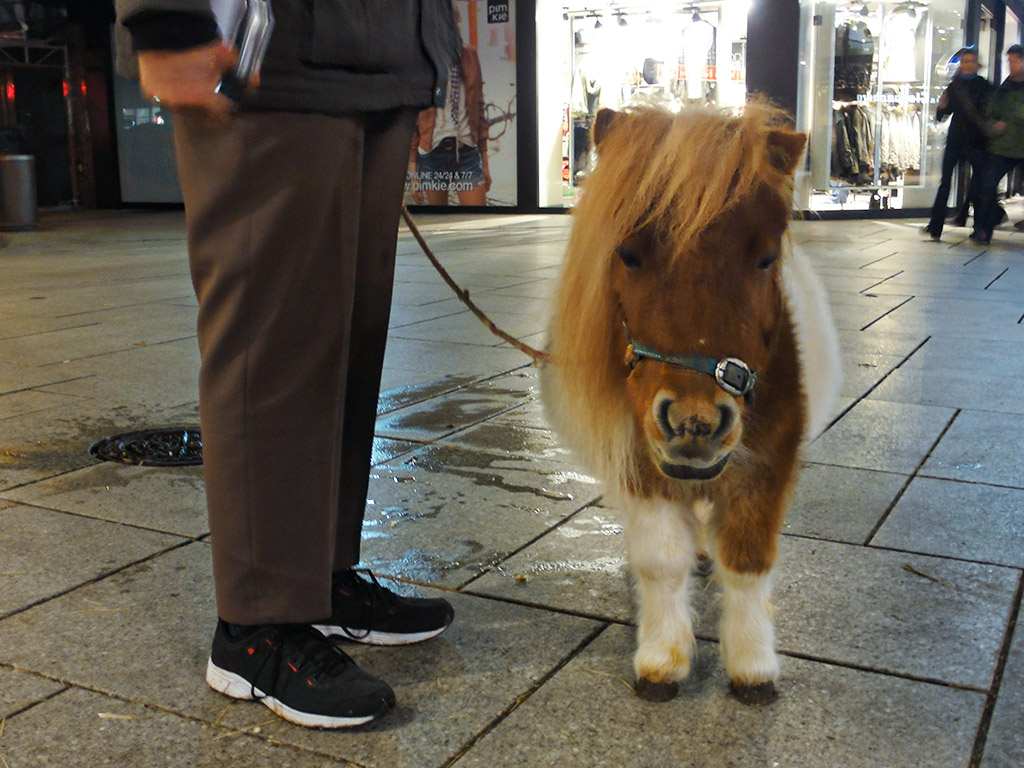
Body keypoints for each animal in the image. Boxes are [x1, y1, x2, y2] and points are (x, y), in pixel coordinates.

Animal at [544, 103, 839, 708]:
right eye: (628, 254)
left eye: (765, 258)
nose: (695, 423)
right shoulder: (641, 464)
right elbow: (661, 560)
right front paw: (662, 660)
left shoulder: (769, 467)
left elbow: (748, 561)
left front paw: (753, 666)